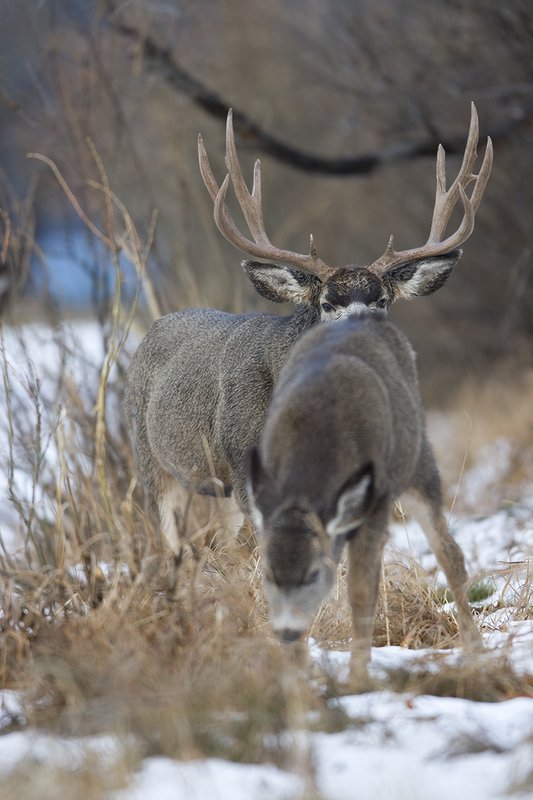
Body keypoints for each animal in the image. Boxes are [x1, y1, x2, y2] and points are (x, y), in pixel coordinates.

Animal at [248, 311, 483, 684]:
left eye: (313, 574)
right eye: (269, 574)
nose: (285, 631)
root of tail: (364, 315)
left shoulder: (377, 501)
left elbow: (359, 590)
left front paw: (358, 677)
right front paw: (297, 675)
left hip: (418, 465)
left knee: (450, 553)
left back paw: (475, 645)